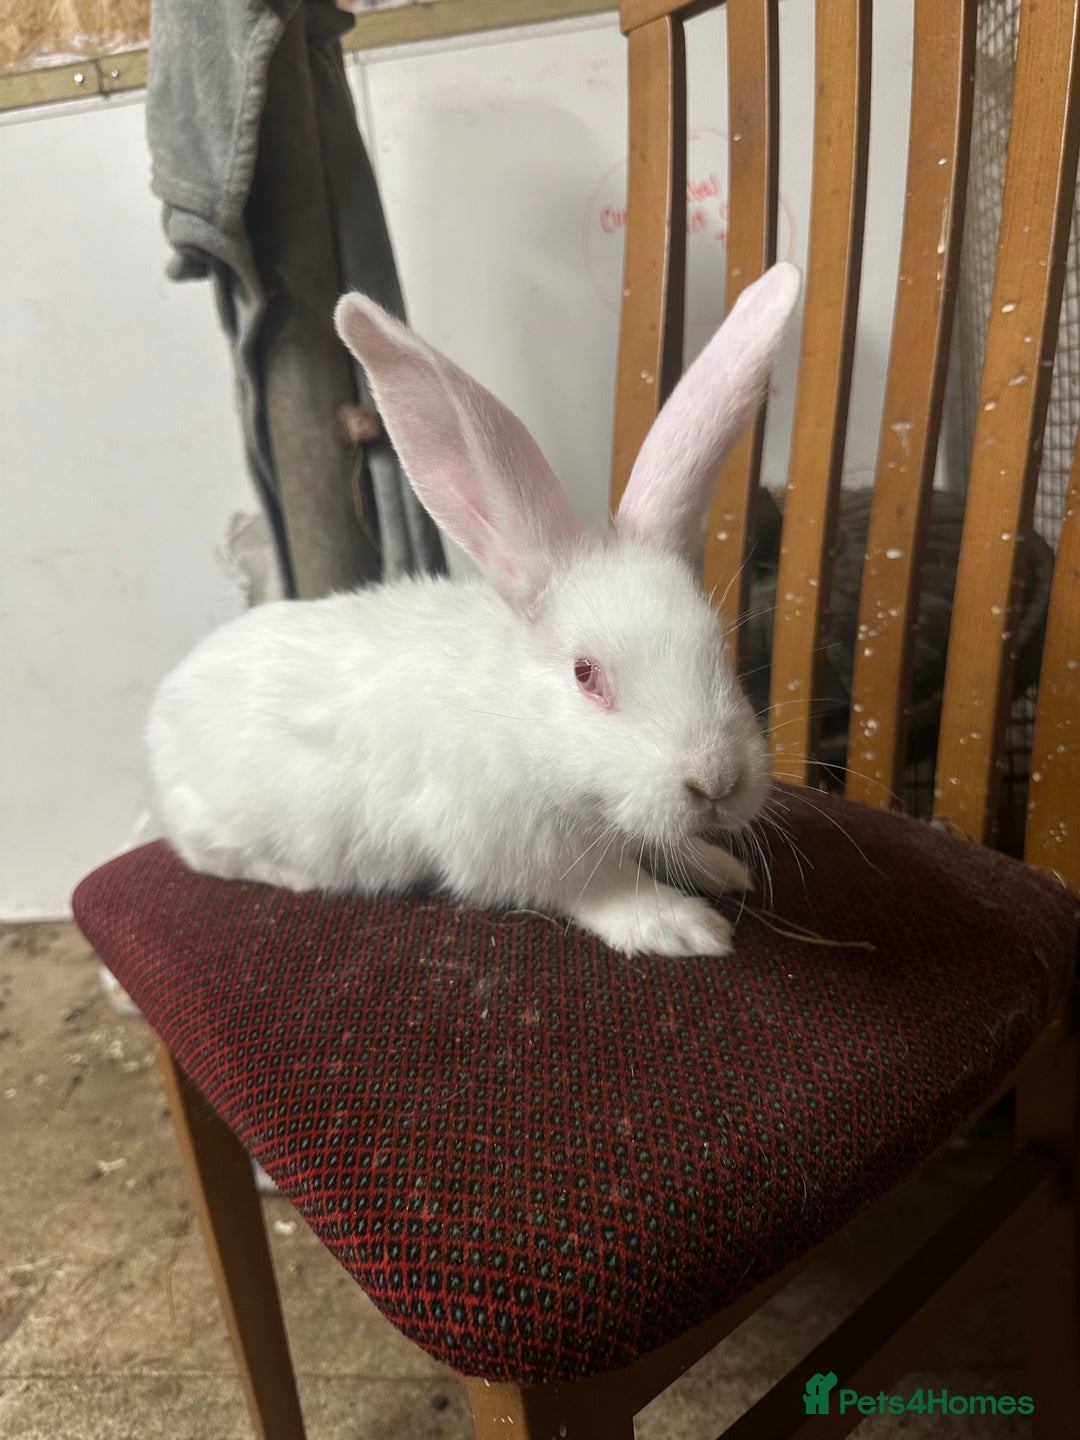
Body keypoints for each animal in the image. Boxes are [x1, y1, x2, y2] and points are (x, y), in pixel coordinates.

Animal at [147, 262, 801, 958]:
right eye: (585, 674)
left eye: (718, 646)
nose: (717, 781)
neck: (510, 712)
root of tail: (163, 702)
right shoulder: (521, 853)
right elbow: (605, 889)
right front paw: (682, 926)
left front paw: (722, 867)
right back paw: (290, 875)